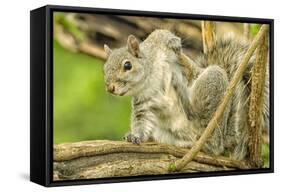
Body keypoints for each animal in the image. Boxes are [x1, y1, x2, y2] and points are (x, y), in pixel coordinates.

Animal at [101, 29, 268, 160]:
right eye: (105, 69)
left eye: (127, 65)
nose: (110, 88)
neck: (148, 80)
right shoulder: (143, 102)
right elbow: (142, 121)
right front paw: (135, 136)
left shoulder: (161, 47)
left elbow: (163, 35)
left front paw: (174, 43)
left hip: (213, 88)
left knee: (205, 130)